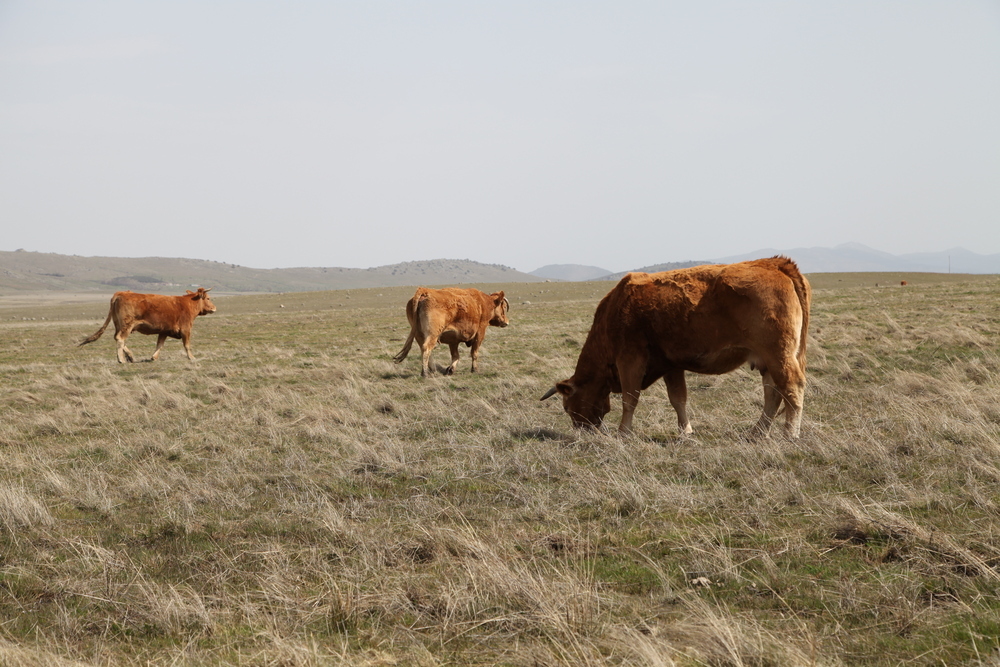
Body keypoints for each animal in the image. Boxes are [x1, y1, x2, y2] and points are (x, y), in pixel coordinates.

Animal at [79, 288, 216, 362]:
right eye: (208, 298)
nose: (214, 308)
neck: (187, 304)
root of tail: (121, 293)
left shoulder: (164, 331)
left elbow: (159, 344)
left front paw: (153, 357)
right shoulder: (186, 329)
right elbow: (187, 345)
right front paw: (192, 357)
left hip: (119, 325)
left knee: (118, 338)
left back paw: (130, 356)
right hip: (127, 326)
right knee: (120, 339)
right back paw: (121, 359)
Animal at [544, 258, 808, 440]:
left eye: (567, 406)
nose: (581, 432)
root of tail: (775, 263)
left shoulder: (630, 359)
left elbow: (630, 398)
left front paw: (624, 433)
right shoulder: (670, 364)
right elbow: (678, 398)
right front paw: (685, 431)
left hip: (779, 356)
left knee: (791, 387)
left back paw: (790, 434)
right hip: (767, 360)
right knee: (773, 394)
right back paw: (757, 432)